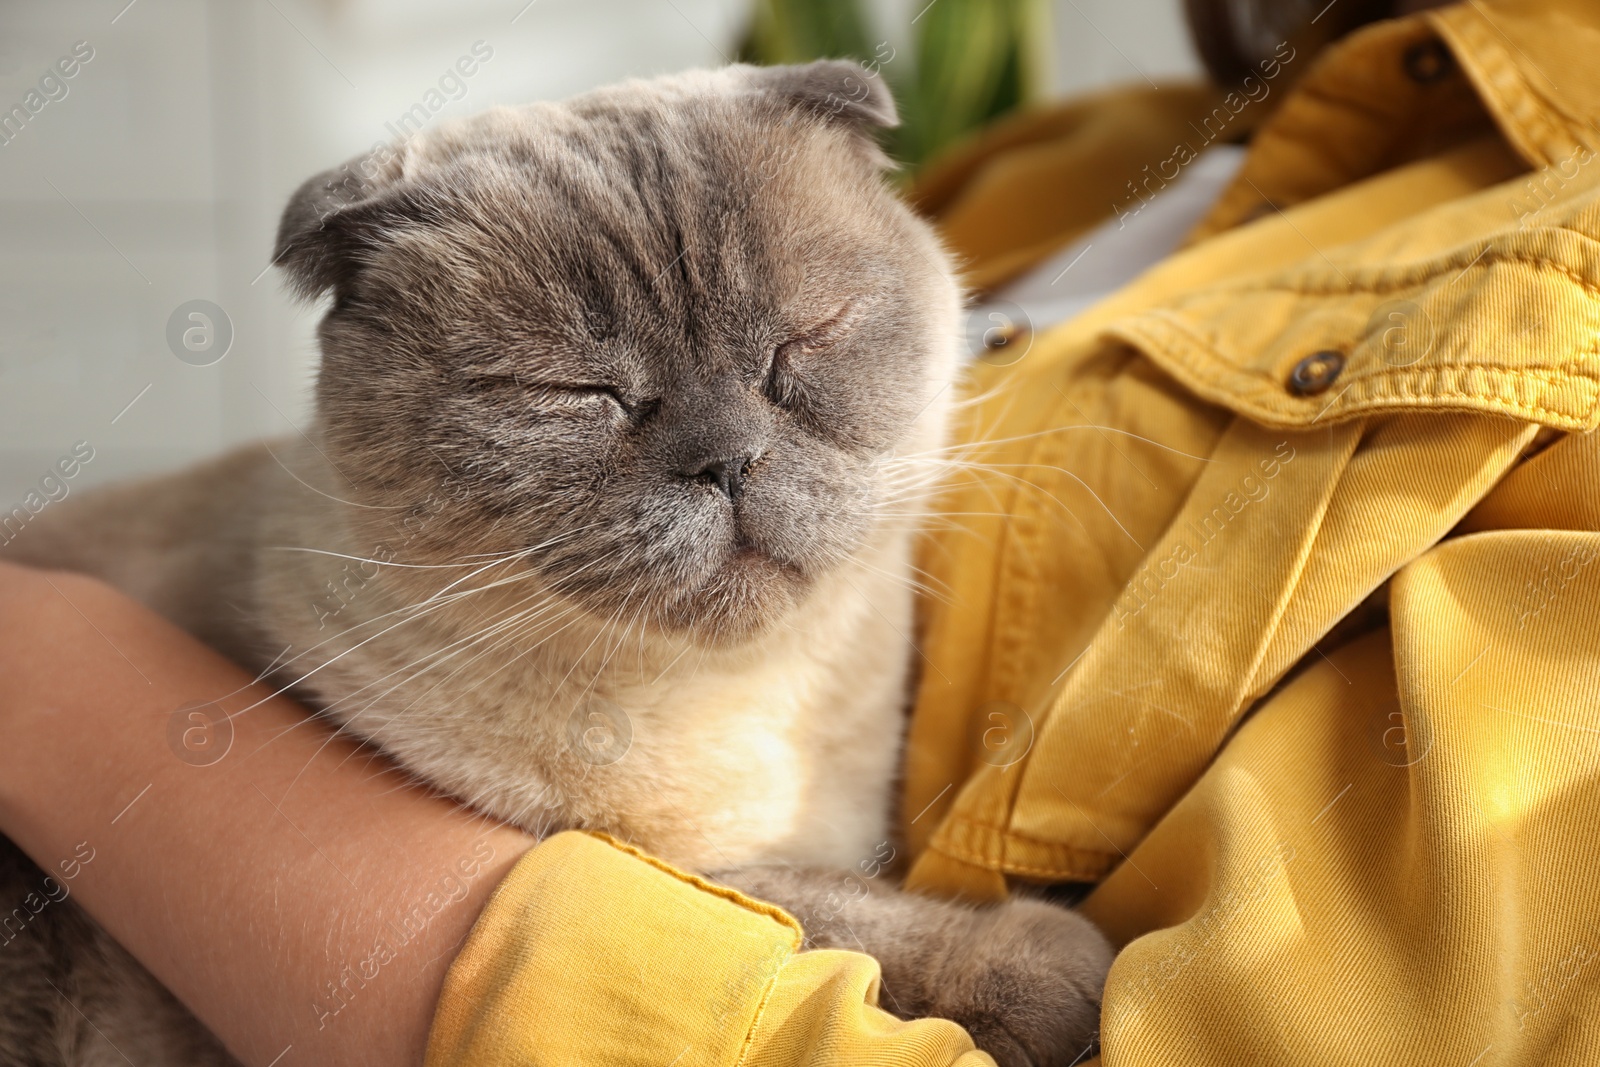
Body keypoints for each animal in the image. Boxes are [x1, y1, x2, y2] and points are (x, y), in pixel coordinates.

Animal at [0, 60, 1113, 1067]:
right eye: (581, 393)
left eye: (799, 345)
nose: (726, 459)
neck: (735, 706)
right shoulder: (588, 852)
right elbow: (819, 905)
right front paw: (1050, 963)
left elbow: (822, 900)